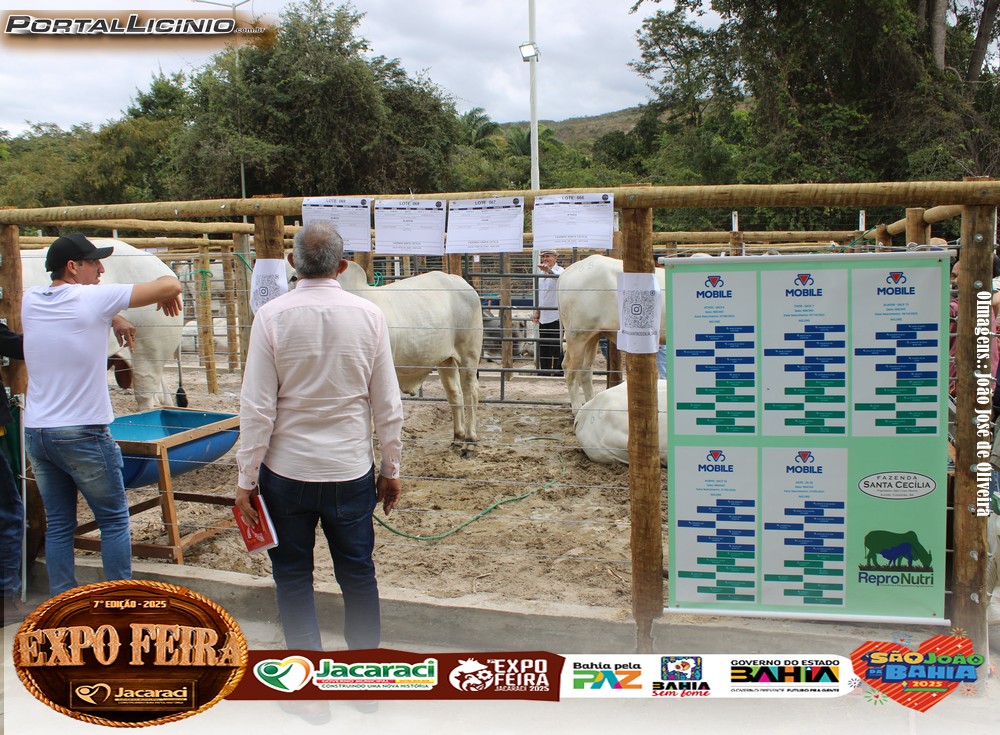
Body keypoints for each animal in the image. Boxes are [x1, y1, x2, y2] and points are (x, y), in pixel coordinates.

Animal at [337, 261, 483, 450]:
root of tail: (461, 282)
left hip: (469, 355)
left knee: (470, 391)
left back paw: (470, 441)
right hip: (445, 360)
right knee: (454, 393)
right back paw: (458, 437)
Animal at [558, 254, 668, 412]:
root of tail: (570, 270)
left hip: (592, 336)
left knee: (585, 370)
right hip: (578, 334)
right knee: (570, 369)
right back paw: (577, 409)